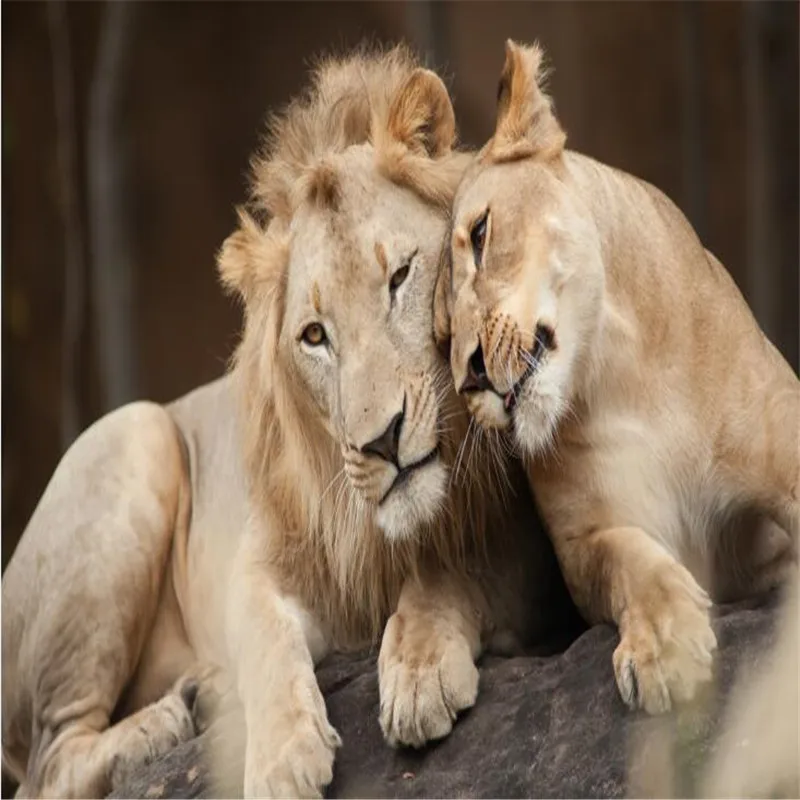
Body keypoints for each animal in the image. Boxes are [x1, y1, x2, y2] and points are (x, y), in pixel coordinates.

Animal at [2, 45, 562, 799]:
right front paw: (281, 759)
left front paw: (420, 670)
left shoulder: (530, 549)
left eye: (401, 277)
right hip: (133, 437)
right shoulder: (264, 557)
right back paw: (170, 718)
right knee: (48, 763)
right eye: (315, 335)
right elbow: (265, 638)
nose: (382, 440)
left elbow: (453, 571)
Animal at [434, 39, 799, 715]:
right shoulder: (589, 539)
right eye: (442, 338)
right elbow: (633, 564)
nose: (471, 376)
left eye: (481, 233)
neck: (619, 370)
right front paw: (663, 648)